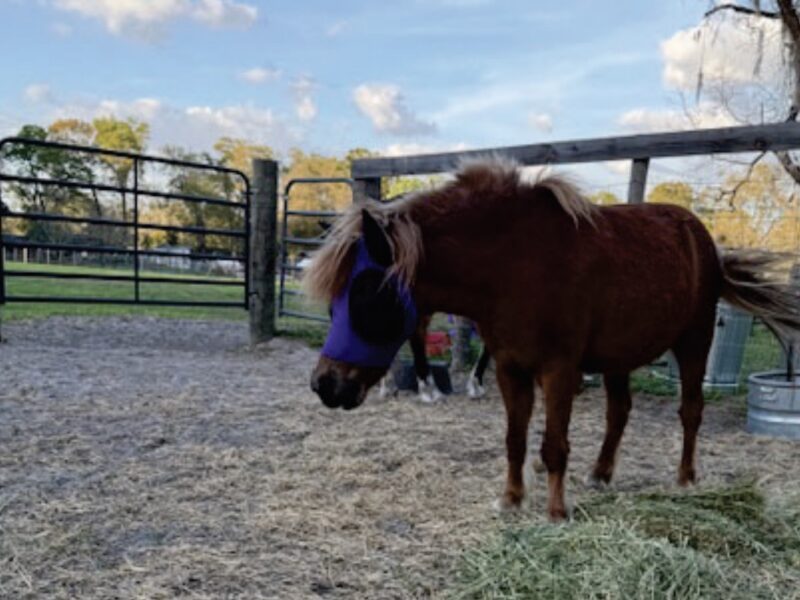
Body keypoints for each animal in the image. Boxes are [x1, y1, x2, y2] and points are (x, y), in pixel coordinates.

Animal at [303, 158, 800, 520]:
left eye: (367, 296)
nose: (325, 385)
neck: (515, 263)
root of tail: (704, 240)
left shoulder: (560, 370)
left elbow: (554, 444)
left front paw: (556, 510)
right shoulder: (510, 369)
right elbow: (516, 440)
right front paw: (511, 499)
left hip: (694, 343)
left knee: (691, 411)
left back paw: (686, 478)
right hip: (619, 358)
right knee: (619, 412)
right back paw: (601, 473)